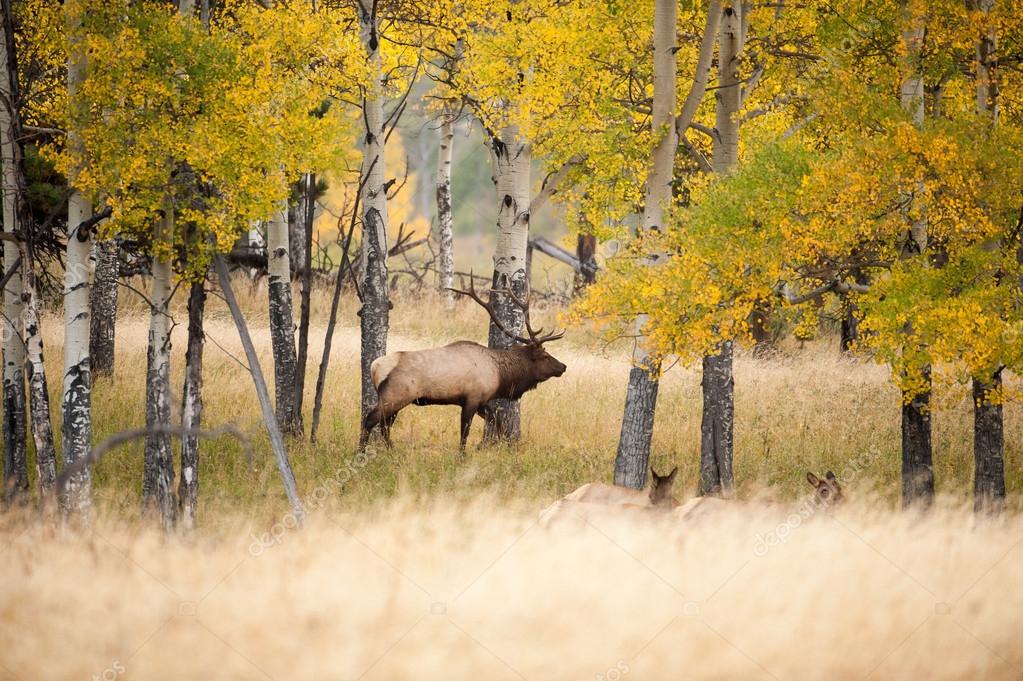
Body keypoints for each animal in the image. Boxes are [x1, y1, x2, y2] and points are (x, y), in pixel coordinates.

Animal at [360, 280, 567, 451]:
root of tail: (375, 367)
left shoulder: (482, 400)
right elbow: (465, 433)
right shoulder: (472, 398)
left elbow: (498, 423)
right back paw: (361, 453)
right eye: (545, 355)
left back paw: (391, 451)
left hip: (396, 399)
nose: (563, 366)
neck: (500, 376)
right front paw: (462, 456)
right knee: (370, 420)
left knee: (385, 425)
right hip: (396, 395)